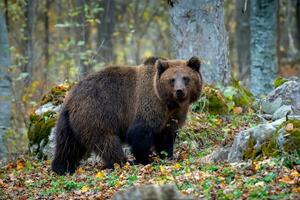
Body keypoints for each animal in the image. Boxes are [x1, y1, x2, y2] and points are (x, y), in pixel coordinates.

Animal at [51, 56, 203, 175]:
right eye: (172, 79)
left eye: (186, 78)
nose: (179, 91)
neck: (168, 103)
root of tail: (71, 98)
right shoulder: (149, 105)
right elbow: (140, 133)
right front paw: (145, 159)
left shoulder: (172, 115)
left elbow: (166, 136)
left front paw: (167, 156)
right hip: (97, 114)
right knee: (107, 142)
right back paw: (122, 162)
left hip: (69, 122)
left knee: (68, 145)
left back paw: (62, 167)